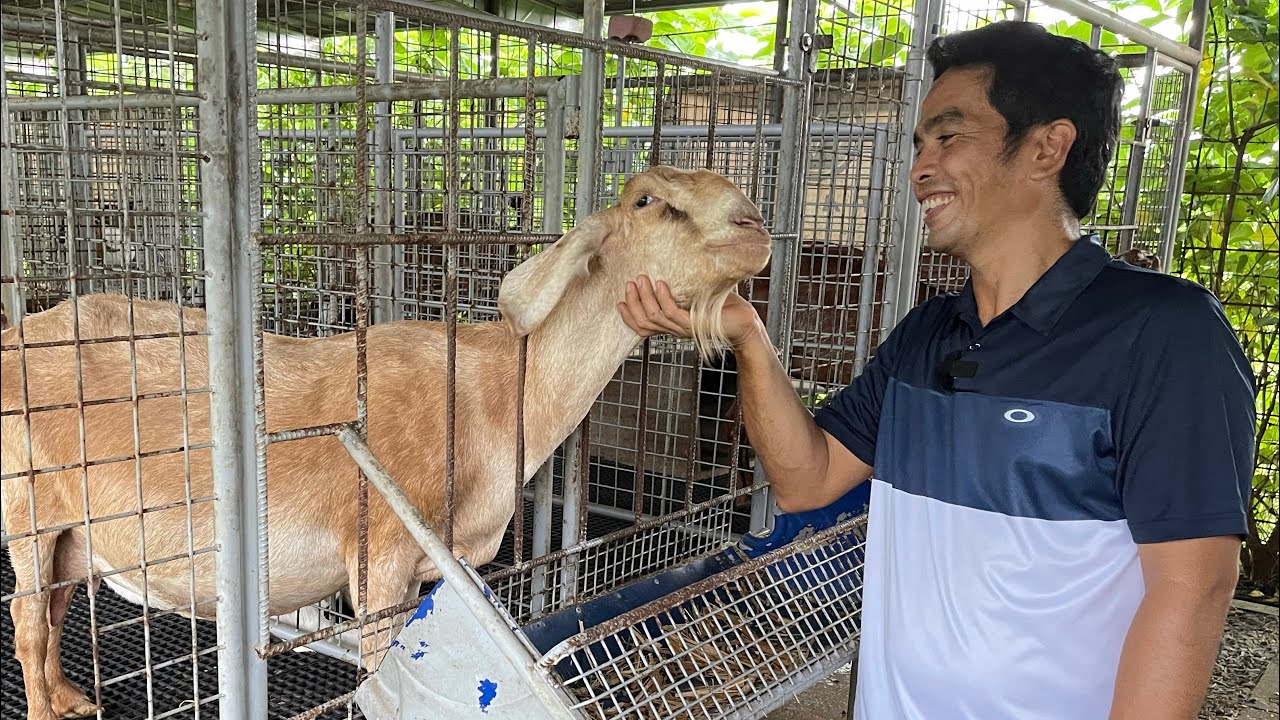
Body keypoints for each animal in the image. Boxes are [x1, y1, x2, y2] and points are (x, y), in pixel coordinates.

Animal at [0, 163, 768, 717]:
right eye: (647, 200)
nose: (754, 224)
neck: (496, 394)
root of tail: (19, 334)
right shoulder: (382, 557)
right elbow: (375, 669)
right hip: (26, 506)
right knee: (28, 616)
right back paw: (46, 707)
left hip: (76, 528)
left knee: (57, 605)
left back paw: (71, 699)